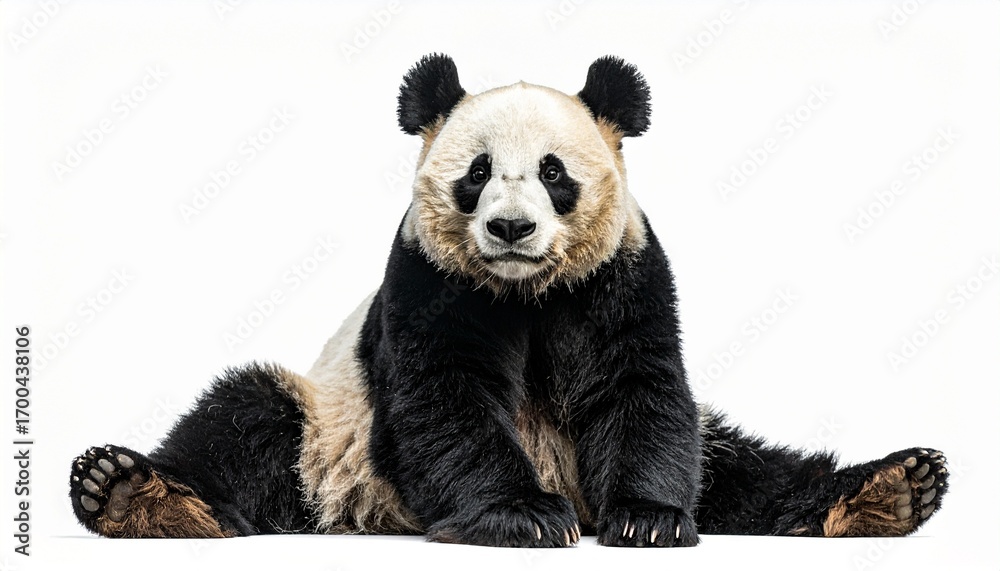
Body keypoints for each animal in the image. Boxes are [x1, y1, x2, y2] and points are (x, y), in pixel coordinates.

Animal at [69, 54, 948, 547]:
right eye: (477, 171)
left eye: (555, 171)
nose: (511, 227)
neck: (525, 289)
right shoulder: (427, 279)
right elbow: (443, 397)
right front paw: (525, 515)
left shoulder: (621, 273)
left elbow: (640, 386)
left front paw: (647, 518)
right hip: (327, 432)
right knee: (249, 416)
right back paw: (130, 493)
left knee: (746, 466)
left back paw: (890, 489)